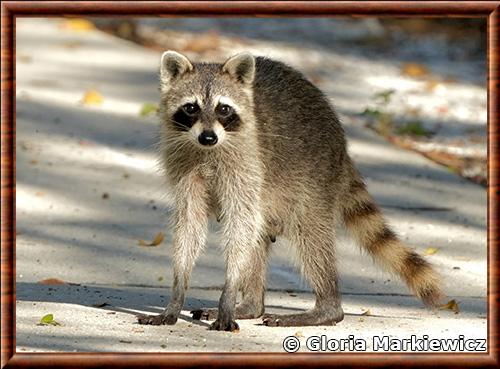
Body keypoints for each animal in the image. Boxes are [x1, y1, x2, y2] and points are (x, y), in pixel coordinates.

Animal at [136, 50, 442, 330]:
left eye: (224, 109)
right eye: (191, 108)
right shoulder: (185, 166)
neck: (207, 150)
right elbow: (190, 225)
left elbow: (240, 227)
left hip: (313, 177)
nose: (208, 137)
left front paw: (229, 292)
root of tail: (342, 146)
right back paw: (251, 305)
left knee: (309, 238)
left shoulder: (247, 164)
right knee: (258, 237)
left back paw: (326, 308)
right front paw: (178, 291)